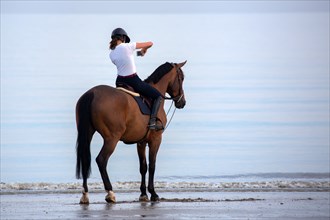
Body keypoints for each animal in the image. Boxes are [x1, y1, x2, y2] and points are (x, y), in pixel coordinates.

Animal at [75, 60, 187, 205]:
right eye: (182, 78)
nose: (182, 102)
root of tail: (92, 93)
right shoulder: (155, 140)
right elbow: (152, 166)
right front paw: (153, 193)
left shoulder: (141, 142)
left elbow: (143, 167)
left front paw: (143, 194)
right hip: (111, 139)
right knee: (101, 160)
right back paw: (110, 193)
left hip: (88, 134)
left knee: (85, 160)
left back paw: (85, 195)